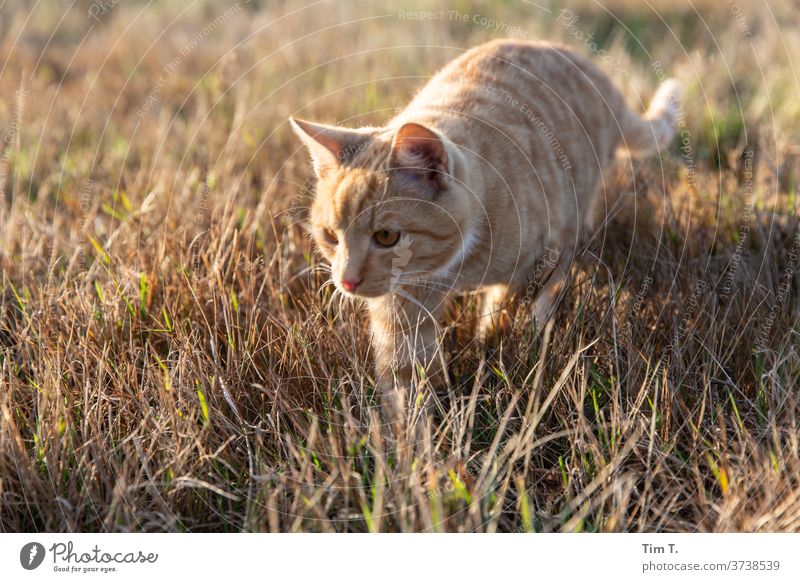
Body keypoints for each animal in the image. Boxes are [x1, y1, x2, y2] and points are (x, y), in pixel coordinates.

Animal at [290, 37, 680, 420]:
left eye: (386, 237)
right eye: (330, 236)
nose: (346, 282)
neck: (458, 264)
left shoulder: (540, 255)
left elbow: (505, 311)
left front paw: (492, 346)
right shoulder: (402, 300)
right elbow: (406, 375)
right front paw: (411, 430)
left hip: (573, 214)